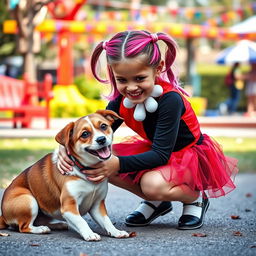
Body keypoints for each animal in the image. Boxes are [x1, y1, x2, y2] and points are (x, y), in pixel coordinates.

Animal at [0, 110, 129, 242]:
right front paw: (89, 234)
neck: (85, 169)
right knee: (24, 227)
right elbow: (82, 221)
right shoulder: (69, 207)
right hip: (28, 199)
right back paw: (41, 229)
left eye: (103, 126)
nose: (101, 139)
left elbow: (106, 221)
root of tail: (3, 216)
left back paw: (58, 225)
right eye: (85, 134)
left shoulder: (97, 205)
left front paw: (116, 232)